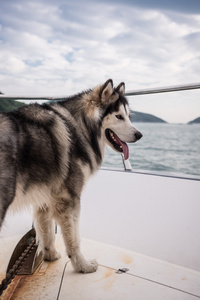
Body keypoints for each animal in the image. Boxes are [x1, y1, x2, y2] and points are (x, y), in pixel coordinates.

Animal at [0, 79, 143, 272]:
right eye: (119, 116)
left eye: (128, 116)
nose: (139, 135)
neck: (80, 126)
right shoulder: (69, 199)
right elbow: (74, 239)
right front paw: (83, 266)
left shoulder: (45, 198)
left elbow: (47, 231)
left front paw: (50, 255)